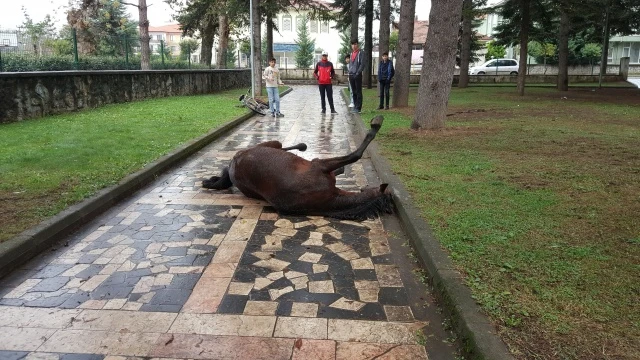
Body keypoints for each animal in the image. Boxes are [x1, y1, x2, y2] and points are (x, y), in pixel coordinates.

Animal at [205, 116, 392, 221]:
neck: (329, 199)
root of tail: (233, 161)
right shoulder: (320, 164)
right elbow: (356, 155)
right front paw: (376, 124)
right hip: (273, 144)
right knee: (287, 147)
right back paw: (303, 146)